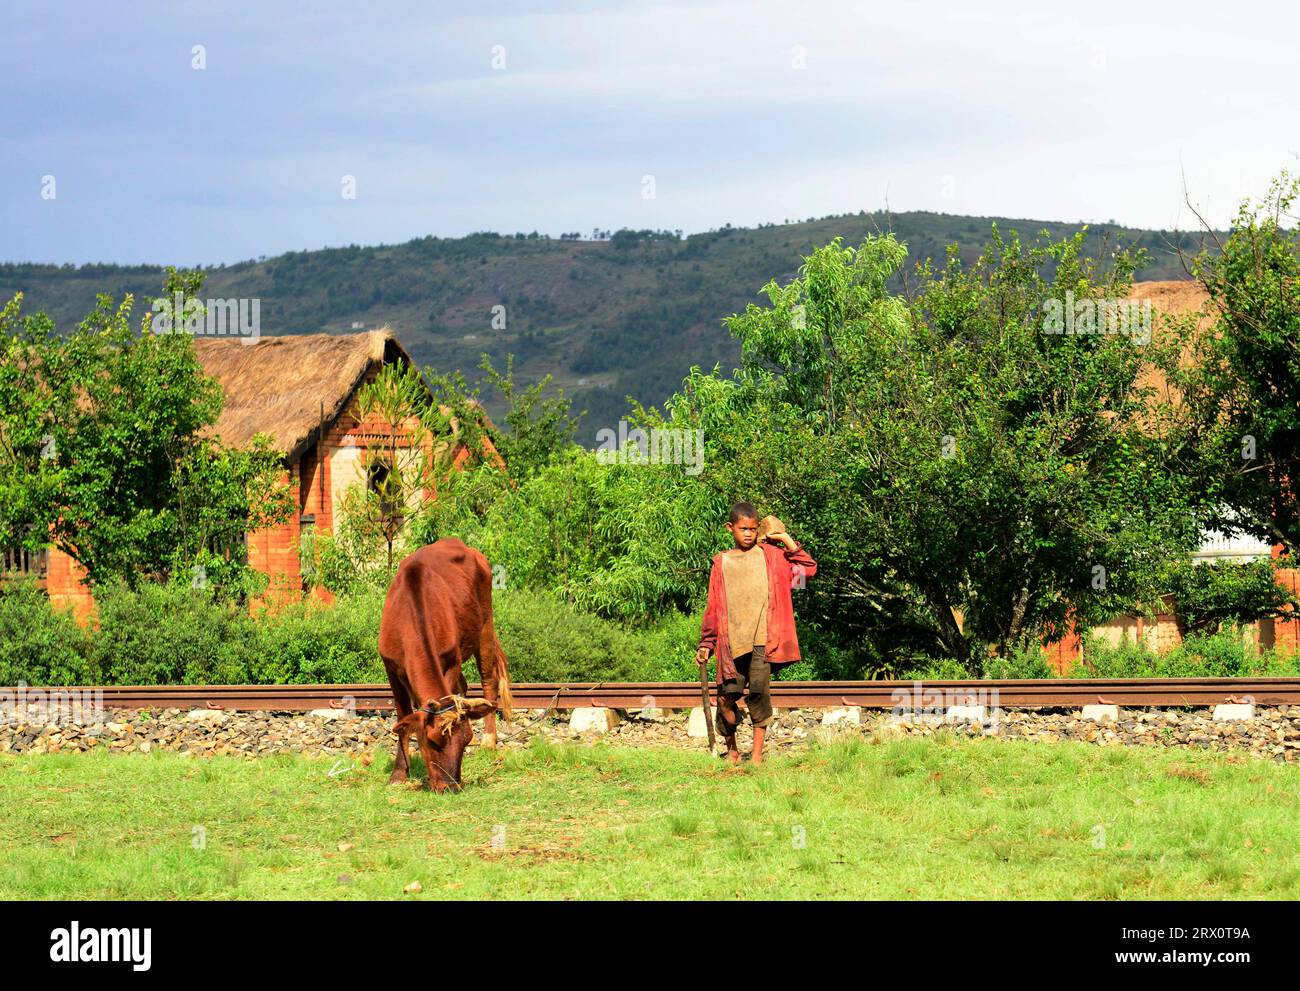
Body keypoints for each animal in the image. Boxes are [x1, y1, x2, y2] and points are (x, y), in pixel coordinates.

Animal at [377, 535, 512, 790]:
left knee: (488, 678)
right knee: (465, 685)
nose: (450, 786)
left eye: (466, 740)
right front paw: (399, 774)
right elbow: (403, 716)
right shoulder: (390, 666)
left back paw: (489, 740)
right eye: (432, 741)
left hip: (485, 623)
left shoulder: (451, 660)